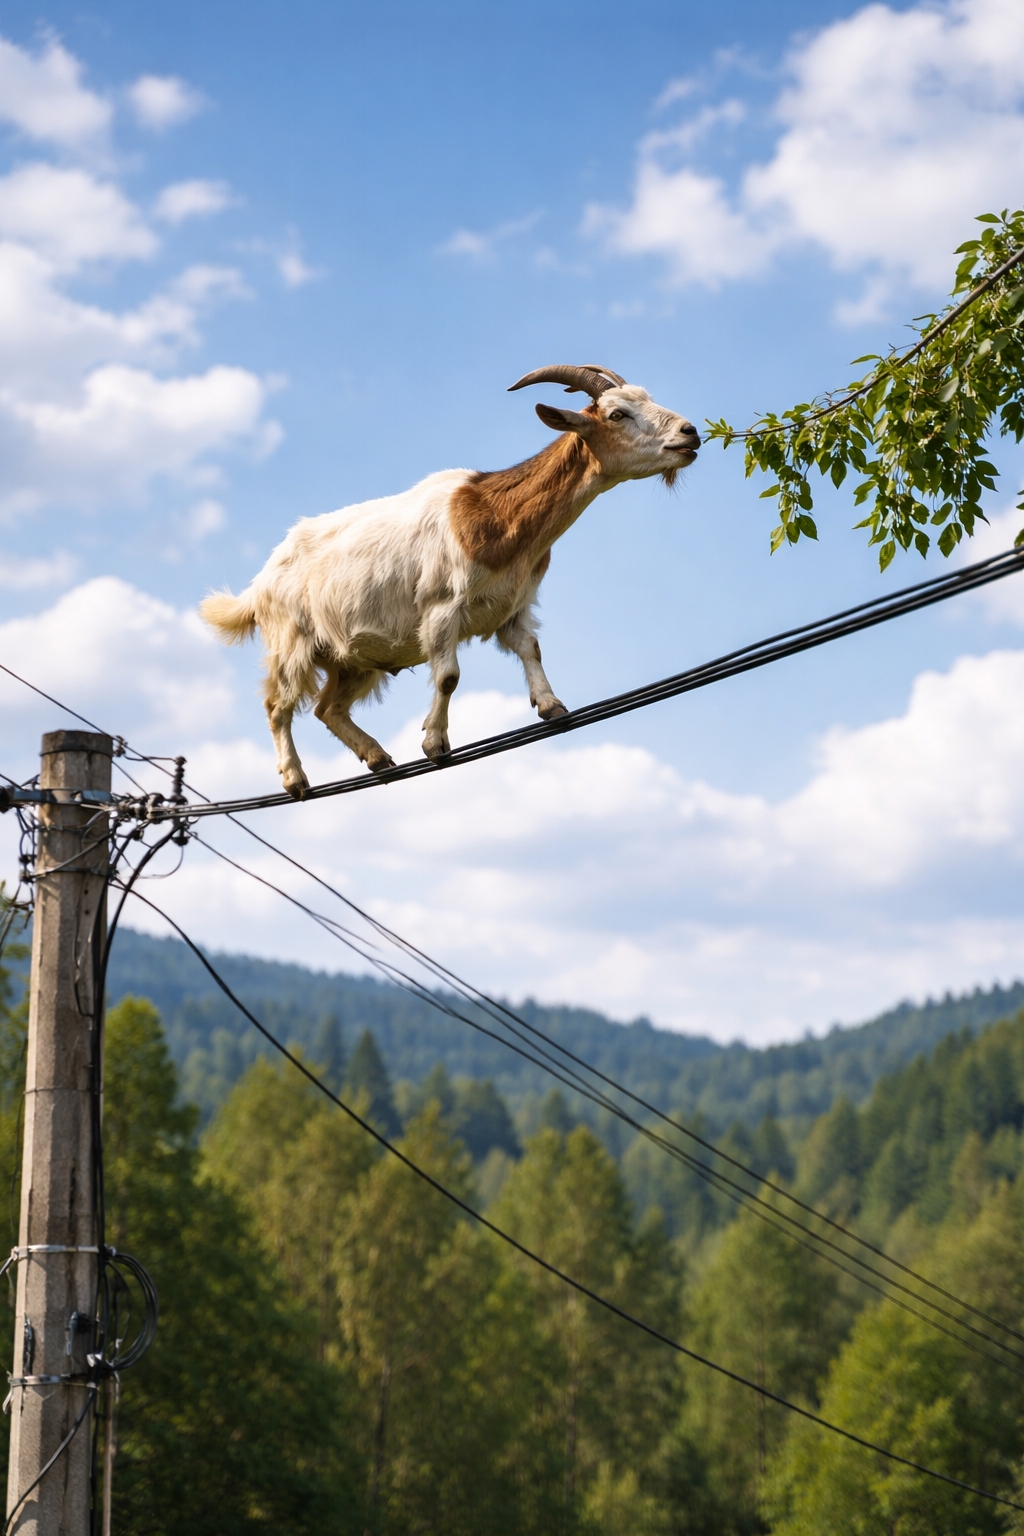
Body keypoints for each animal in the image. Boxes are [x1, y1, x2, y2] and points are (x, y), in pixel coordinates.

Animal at [200, 364, 700, 797]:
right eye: (617, 415)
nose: (690, 433)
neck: (496, 516)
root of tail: (259, 583)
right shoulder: (442, 608)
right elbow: (448, 677)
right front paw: (435, 742)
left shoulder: (513, 605)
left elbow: (531, 649)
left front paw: (551, 706)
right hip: (292, 640)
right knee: (278, 706)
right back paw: (295, 778)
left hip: (353, 659)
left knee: (328, 707)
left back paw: (377, 757)